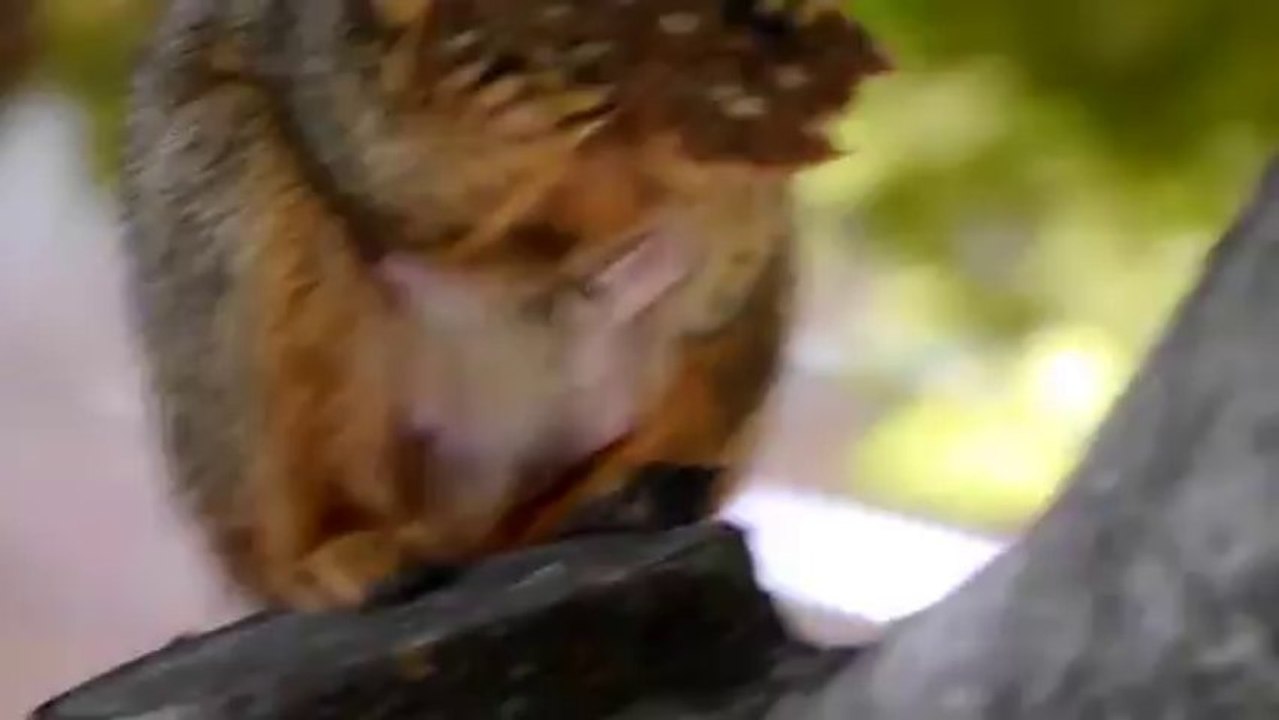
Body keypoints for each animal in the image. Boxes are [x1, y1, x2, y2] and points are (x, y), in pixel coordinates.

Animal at [120, 0, 887, 610]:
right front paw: (496, 119)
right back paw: (345, 551)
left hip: (726, 336)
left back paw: (624, 491)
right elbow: (386, 159)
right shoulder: (319, 40)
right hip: (241, 228)